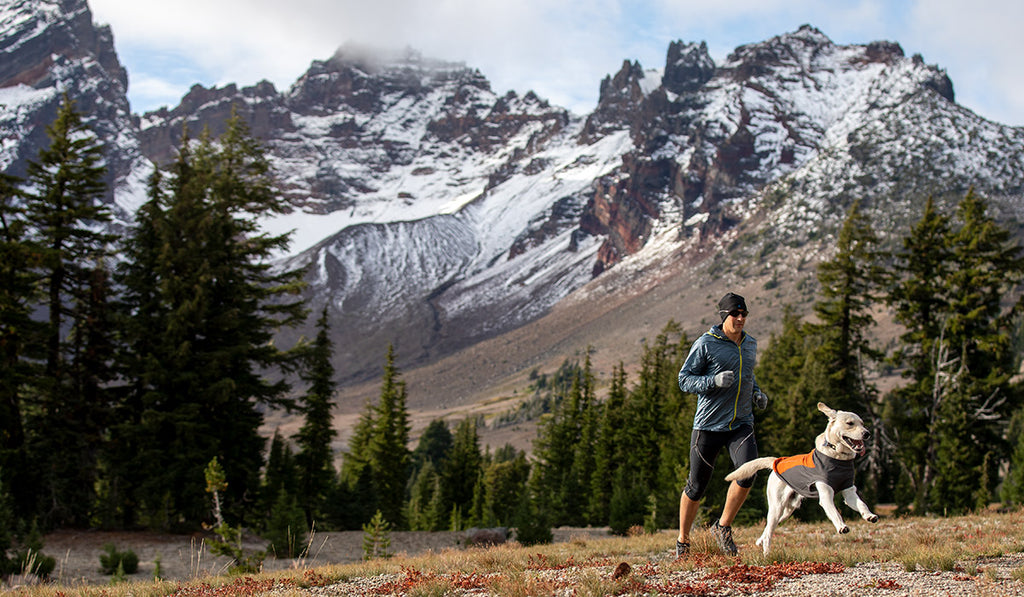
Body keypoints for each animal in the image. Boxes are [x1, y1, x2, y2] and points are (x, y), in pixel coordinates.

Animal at [720, 401, 880, 557]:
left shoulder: (849, 492)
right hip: (777, 507)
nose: (867, 434)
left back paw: (760, 542)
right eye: (849, 423)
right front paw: (841, 526)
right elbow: (834, 511)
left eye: (862, 423)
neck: (838, 457)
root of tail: (776, 461)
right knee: (769, 531)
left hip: (787, 511)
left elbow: (862, 505)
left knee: (767, 527)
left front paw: (869, 516)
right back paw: (767, 554)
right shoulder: (826, 494)